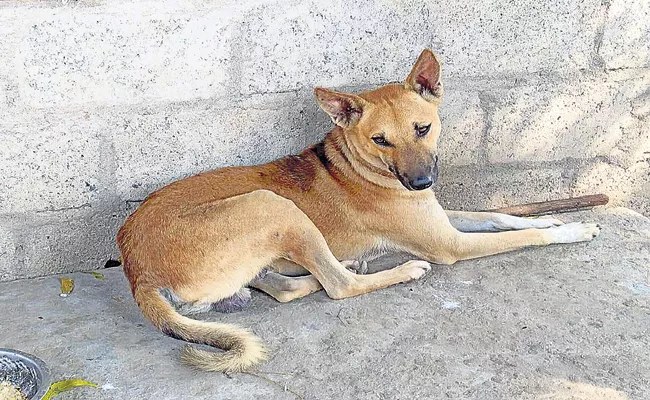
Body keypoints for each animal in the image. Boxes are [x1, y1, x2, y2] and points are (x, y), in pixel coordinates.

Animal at [116, 49, 596, 372]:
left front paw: (552, 216)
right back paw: (398, 270)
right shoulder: (447, 244)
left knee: (288, 287)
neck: (359, 165)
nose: (421, 184)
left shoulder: (440, 220)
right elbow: (521, 235)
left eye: (423, 128)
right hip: (271, 205)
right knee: (339, 287)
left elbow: (499, 215)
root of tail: (137, 272)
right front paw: (574, 229)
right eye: (381, 140)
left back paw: (328, 268)